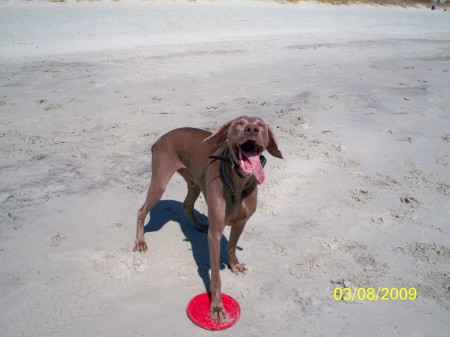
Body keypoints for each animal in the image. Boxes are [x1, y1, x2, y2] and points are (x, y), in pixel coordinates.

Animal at [132, 117, 284, 322]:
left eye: (261, 125)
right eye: (239, 122)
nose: (251, 129)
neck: (238, 183)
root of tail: (159, 139)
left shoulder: (241, 223)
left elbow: (231, 246)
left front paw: (235, 265)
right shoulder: (215, 233)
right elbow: (216, 276)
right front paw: (217, 307)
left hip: (194, 182)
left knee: (187, 205)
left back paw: (199, 225)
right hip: (160, 181)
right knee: (142, 211)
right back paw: (140, 241)